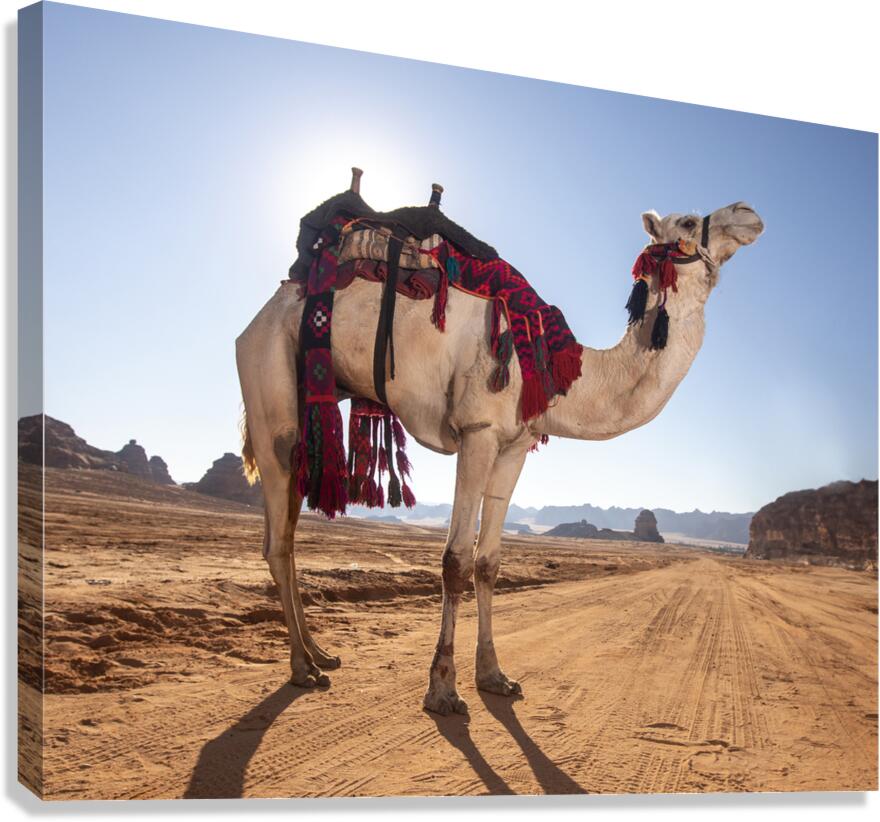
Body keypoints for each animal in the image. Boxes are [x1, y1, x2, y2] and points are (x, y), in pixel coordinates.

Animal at [235, 183, 764, 715]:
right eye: (687, 222)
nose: (749, 213)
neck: (563, 372)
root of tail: (262, 313)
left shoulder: (515, 445)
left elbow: (488, 562)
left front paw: (493, 675)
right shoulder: (479, 430)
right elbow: (455, 559)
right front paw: (442, 688)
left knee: (288, 532)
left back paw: (321, 653)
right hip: (270, 378)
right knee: (278, 540)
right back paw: (302, 667)